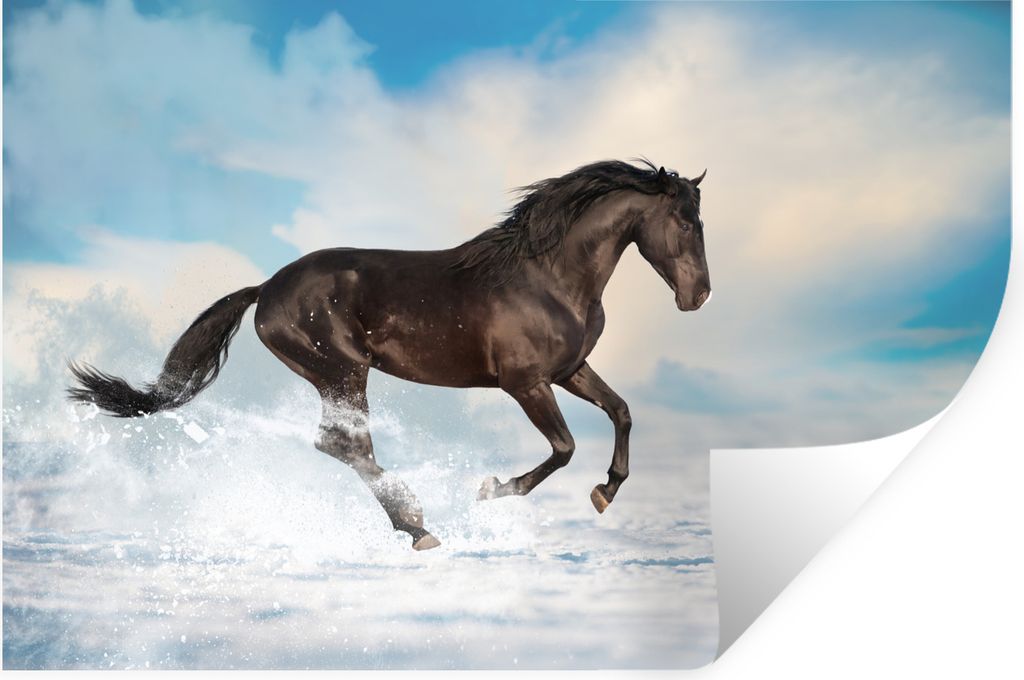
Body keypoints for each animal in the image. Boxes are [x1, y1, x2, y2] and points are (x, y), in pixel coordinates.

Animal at [68, 159, 711, 551]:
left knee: (344, 446)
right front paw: (490, 491)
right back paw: (418, 526)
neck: (547, 278)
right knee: (344, 445)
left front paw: (607, 491)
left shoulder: (570, 370)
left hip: (340, 375)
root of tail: (266, 288)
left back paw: (416, 525)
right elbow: (563, 447)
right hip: (343, 370)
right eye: (684, 222)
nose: (699, 295)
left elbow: (621, 412)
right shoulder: (526, 382)